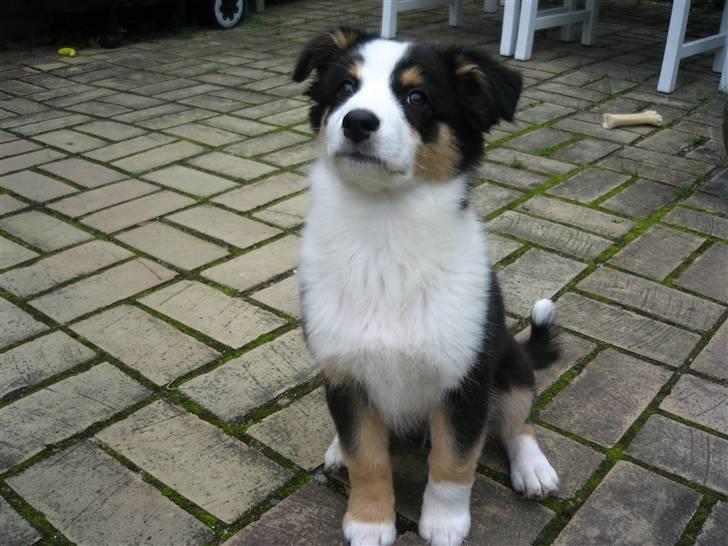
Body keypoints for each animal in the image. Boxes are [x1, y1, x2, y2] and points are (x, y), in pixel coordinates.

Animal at [292, 28, 560, 544]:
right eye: (344, 88)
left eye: (417, 98)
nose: (357, 122)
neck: (384, 233)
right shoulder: (344, 374)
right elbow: (366, 457)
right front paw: (369, 523)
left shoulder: (465, 379)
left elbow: (454, 462)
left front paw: (445, 523)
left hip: (509, 361)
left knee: (518, 420)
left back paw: (533, 469)